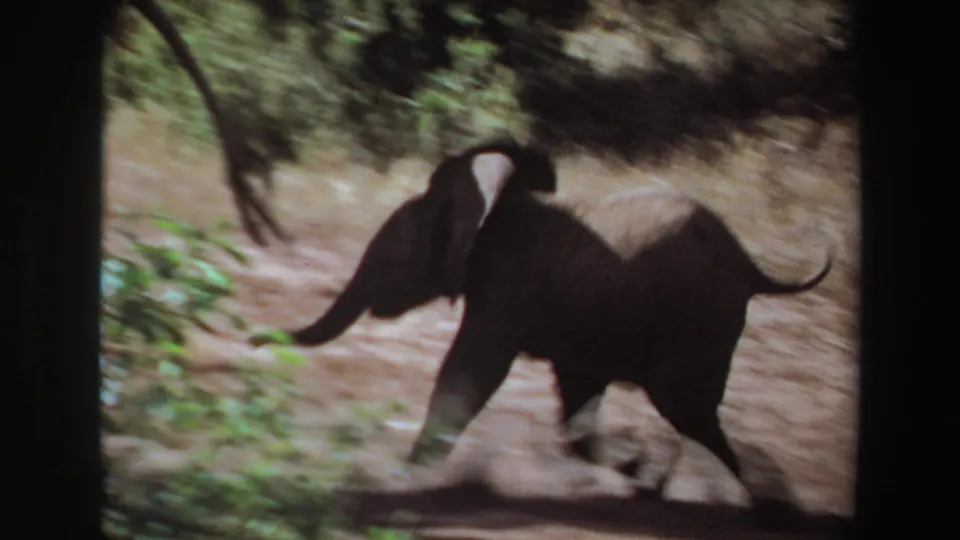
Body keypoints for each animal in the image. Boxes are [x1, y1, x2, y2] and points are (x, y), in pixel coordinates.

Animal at [249, 140, 833, 511]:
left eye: (395, 255)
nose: (254, 340)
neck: (489, 206)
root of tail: (754, 268)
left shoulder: (505, 286)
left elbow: (469, 373)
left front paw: (401, 481)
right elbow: (574, 402)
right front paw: (635, 471)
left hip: (699, 316)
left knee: (688, 408)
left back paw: (759, 500)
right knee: (690, 413)